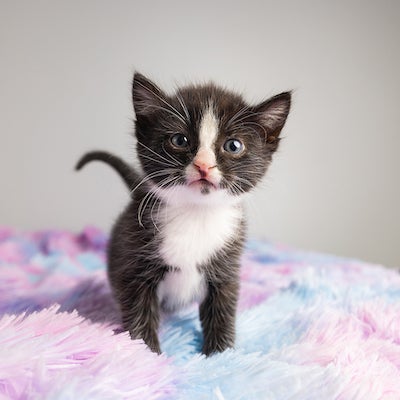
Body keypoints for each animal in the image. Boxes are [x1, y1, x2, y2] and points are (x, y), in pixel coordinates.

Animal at [76, 73, 290, 354]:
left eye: (233, 145)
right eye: (179, 140)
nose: (203, 165)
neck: (196, 214)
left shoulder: (227, 266)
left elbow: (222, 309)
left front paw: (219, 355)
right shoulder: (134, 263)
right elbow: (139, 313)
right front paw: (147, 355)